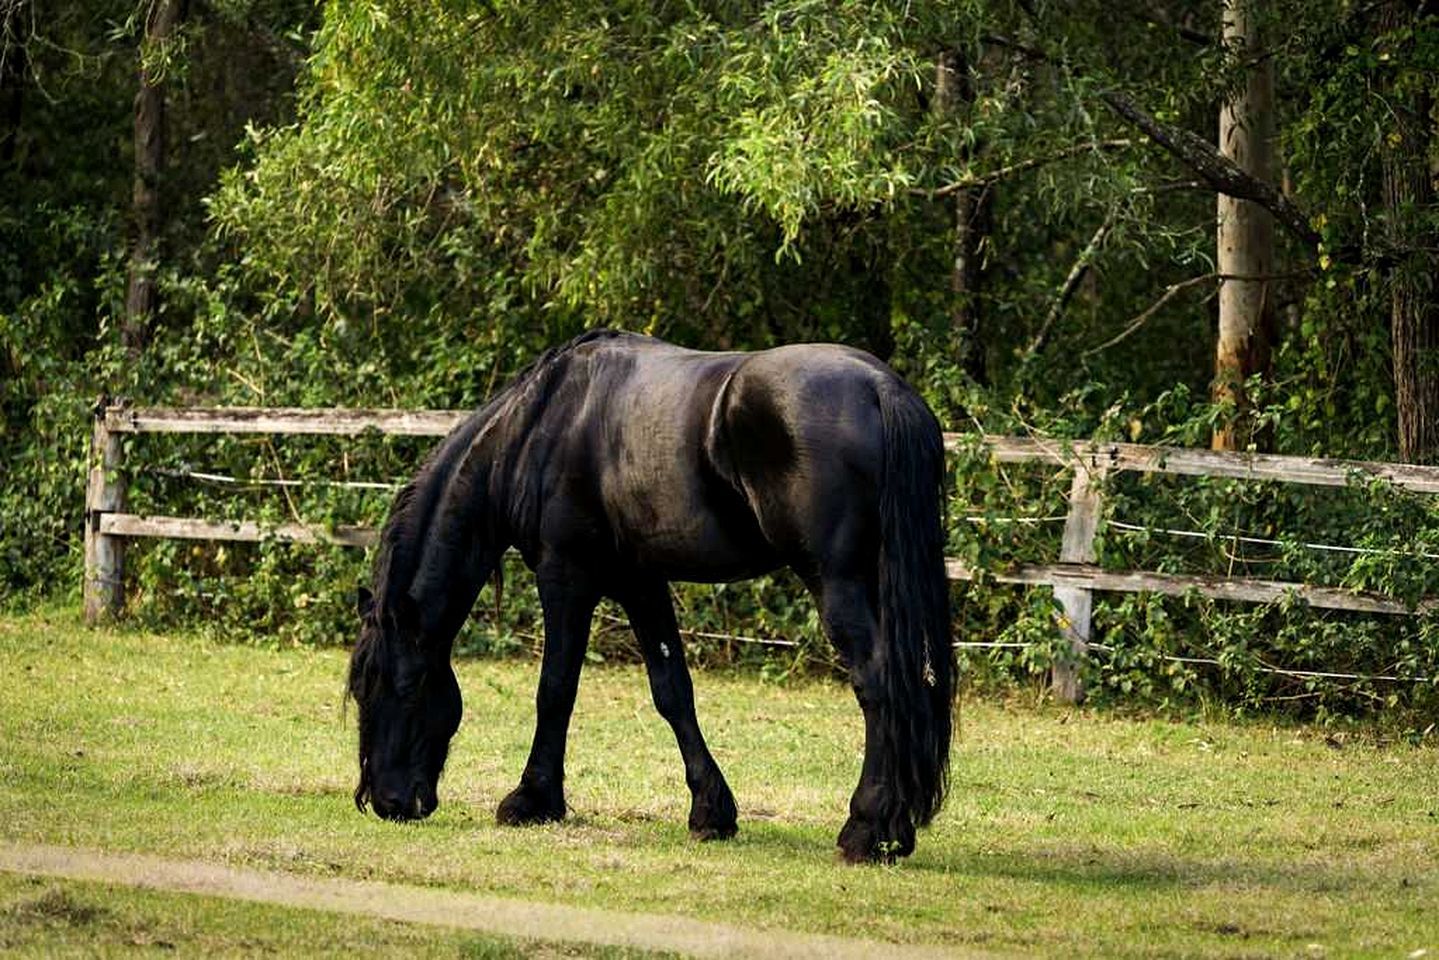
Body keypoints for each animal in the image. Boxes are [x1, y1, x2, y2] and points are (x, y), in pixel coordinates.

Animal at [346, 329, 954, 862]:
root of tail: (882, 389)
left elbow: (555, 690)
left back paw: (866, 829)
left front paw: (532, 800)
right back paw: (895, 828)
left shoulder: (566, 576)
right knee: (912, 686)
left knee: (879, 684)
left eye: (403, 685)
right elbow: (672, 692)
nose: (388, 800)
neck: (539, 429)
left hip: (836, 582)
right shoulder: (641, 582)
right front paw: (711, 811)